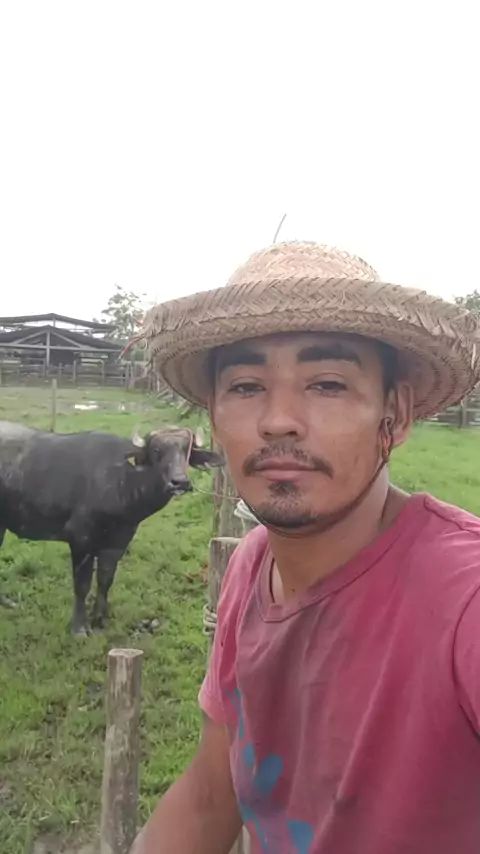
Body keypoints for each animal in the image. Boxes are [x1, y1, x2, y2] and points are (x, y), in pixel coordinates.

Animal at [0, 421, 223, 635]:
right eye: (157, 450)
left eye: (187, 450)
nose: (180, 482)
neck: (122, 481)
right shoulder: (80, 539)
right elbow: (82, 585)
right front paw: (79, 627)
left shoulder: (118, 541)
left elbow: (105, 580)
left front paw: (101, 618)